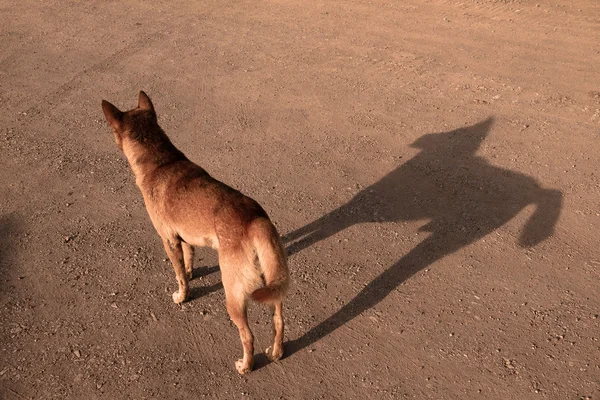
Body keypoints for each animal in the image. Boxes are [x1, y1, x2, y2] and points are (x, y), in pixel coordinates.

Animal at [102, 92, 290, 374]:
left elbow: (179, 275)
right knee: (279, 320)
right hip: (272, 281)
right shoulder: (184, 237)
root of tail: (255, 220)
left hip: (233, 295)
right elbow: (188, 259)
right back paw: (277, 352)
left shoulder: (168, 239)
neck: (161, 162)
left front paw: (182, 296)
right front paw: (191, 272)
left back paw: (245, 365)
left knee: (248, 335)